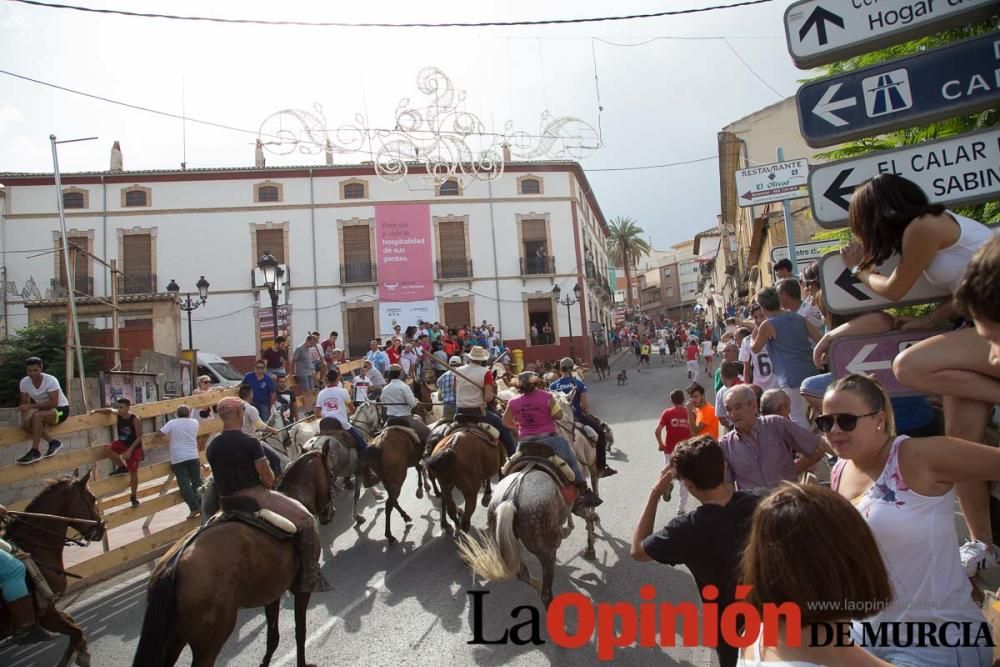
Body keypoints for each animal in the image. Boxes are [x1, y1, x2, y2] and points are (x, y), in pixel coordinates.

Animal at [0, 470, 105, 667]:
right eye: (92, 498)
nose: (102, 528)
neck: (36, 547)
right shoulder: (46, 614)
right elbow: (76, 631)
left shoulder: (51, 609)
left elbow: (73, 623)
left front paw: (83, 652)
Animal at [131, 448, 336, 667]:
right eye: (331, 473)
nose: (330, 513)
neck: (297, 495)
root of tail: (173, 566)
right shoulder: (300, 590)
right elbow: (300, 631)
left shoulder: (272, 592)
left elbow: (273, 636)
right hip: (209, 644)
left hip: (174, 639)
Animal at [458, 464, 592, 604]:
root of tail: (511, 499)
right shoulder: (578, 504)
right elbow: (589, 517)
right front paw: (590, 548)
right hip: (546, 551)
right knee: (546, 593)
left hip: (507, 541)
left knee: (522, 574)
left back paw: (537, 584)